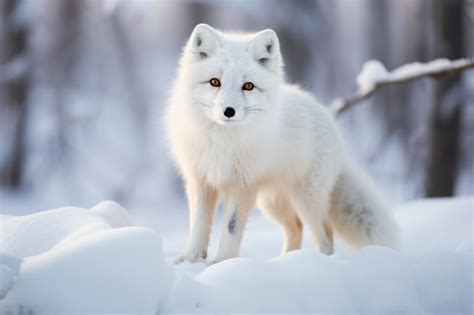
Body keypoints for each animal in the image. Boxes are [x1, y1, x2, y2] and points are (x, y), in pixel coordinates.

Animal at [165, 23, 398, 262]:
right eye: (214, 82)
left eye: (248, 86)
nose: (229, 111)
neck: (222, 142)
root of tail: (331, 123)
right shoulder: (199, 180)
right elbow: (198, 225)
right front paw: (192, 258)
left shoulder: (242, 185)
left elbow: (231, 227)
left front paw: (224, 261)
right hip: (272, 202)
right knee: (295, 227)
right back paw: (285, 260)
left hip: (306, 199)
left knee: (325, 232)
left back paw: (317, 261)